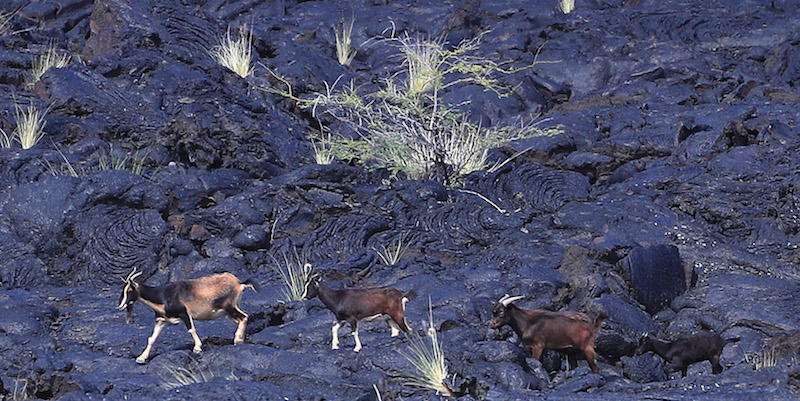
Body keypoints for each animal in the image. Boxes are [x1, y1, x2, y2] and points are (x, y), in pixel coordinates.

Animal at [117, 268, 255, 362]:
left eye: (129, 290)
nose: (120, 305)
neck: (163, 295)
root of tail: (239, 283)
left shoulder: (184, 313)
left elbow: (191, 329)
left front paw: (197, 348)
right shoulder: (161, 320)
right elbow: (152, 338)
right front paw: (141, 358)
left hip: (229, 307)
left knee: (244, 316)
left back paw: (237, 340)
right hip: (229, 311)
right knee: (242, 318)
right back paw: (240, 338)